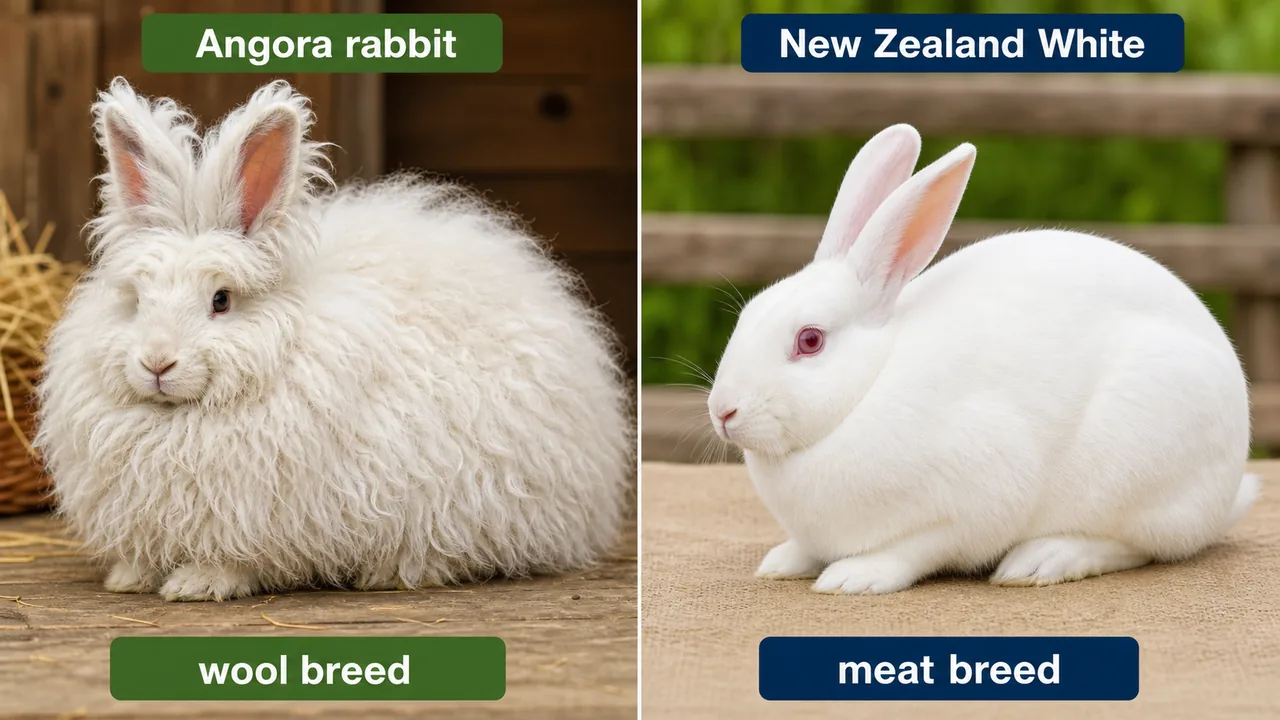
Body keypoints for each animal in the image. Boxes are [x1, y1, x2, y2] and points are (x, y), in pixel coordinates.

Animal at [34, 78, 634, 602]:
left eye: (221, 300)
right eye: (136, 300)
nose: (157, 363)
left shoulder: (262, 518)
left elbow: (235, 558)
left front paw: (197, 585)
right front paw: (129, 578)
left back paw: (391, 573)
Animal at [707, 123, 1258, 595]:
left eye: (810, 341)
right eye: (750, 312)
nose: (722, 411)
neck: (867, 389)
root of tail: (1230, 490)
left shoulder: (973, 500)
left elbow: (916, 548)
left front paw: (854, 577)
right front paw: (783, 561)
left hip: (1138, 469)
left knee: (1136, 545)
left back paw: (1043, 560)